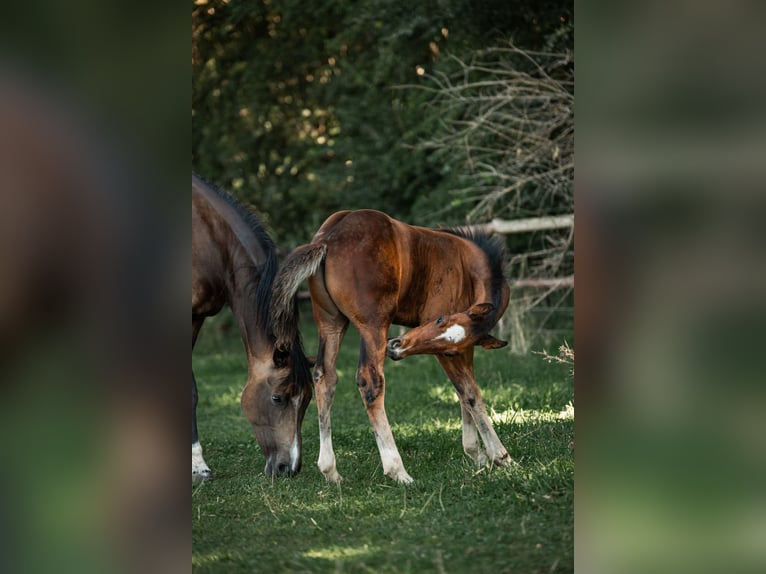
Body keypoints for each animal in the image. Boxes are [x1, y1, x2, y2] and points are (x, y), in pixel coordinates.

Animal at [269, 209, 511, 484]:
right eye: (439, 318)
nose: (396, 346)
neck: (468, 266)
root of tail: (328, 238)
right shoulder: (453, 352)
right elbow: (470, 393)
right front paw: (499, 456)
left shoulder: (461, 348)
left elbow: (464, 393)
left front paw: (477, 453)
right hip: (373, 326)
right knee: (371, 382)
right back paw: (398, 470)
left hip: (330, 323)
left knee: (325, 377)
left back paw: (330, 470)